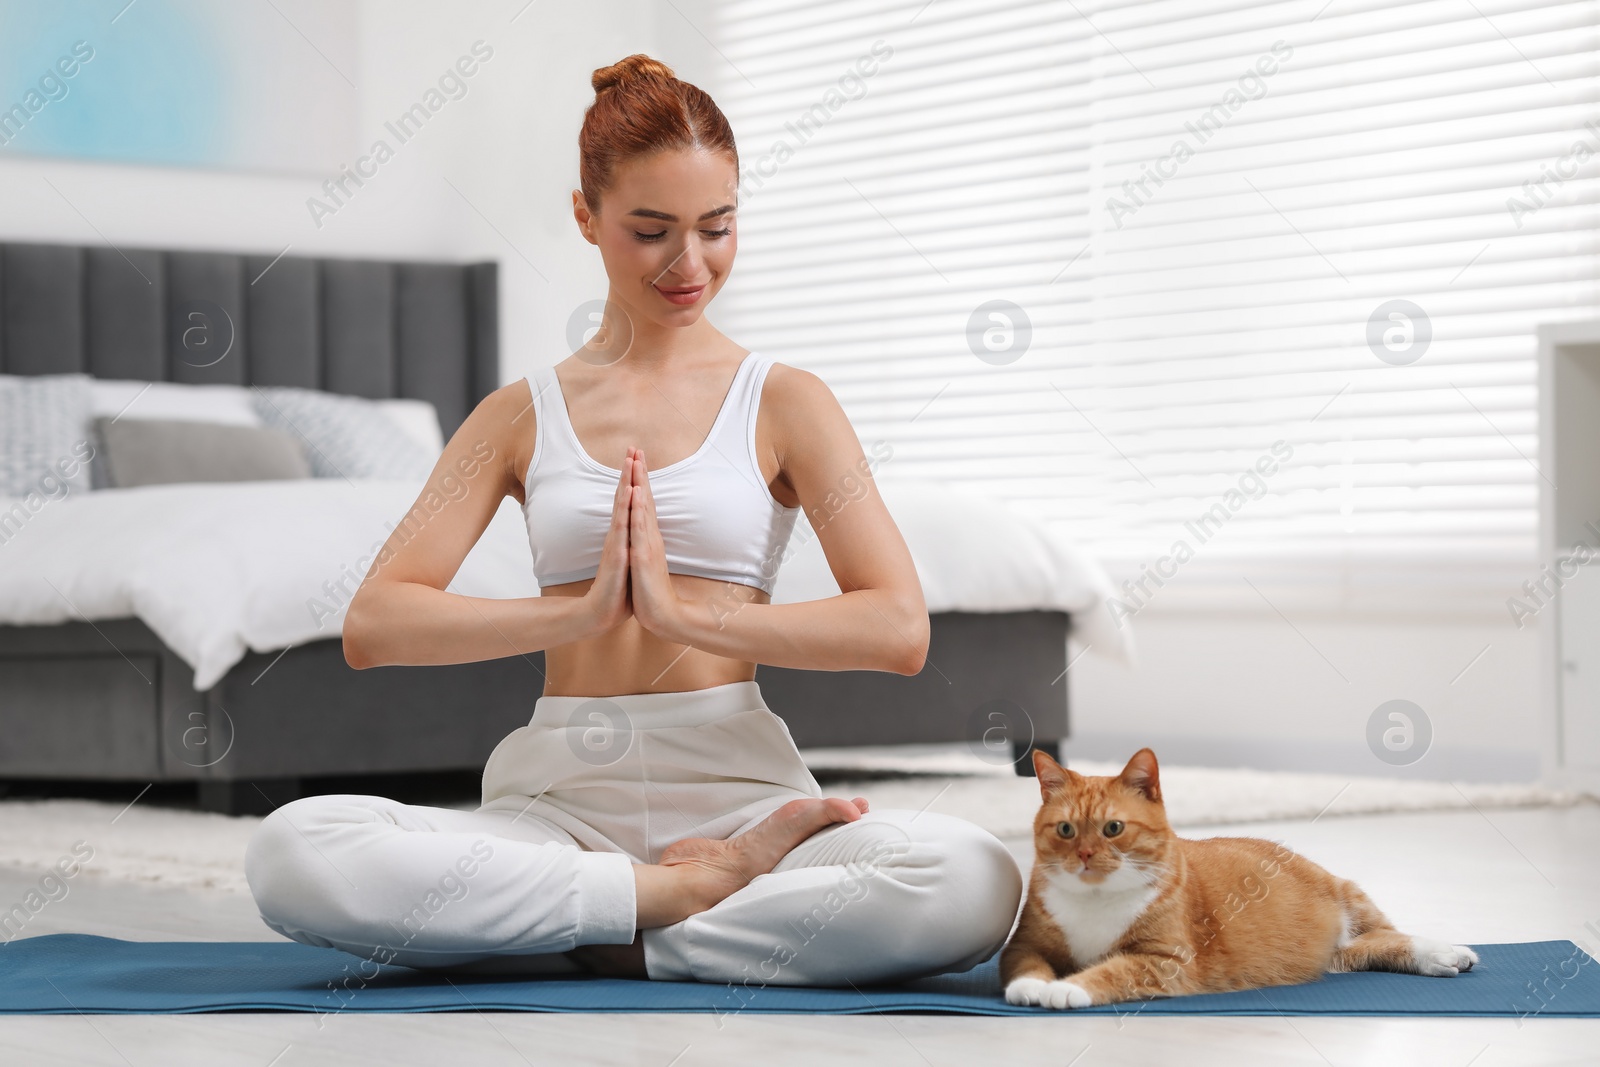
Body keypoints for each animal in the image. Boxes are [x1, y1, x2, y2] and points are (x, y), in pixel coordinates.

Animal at [1004, 742, 1478, 1011]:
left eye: (1113, 828)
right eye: (1066, 830)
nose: (1084, 855)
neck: (1096, 901)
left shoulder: (1168, 962)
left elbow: (1111, 972)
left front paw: (1068, 989)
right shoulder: (1025, 944)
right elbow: (1026, 964)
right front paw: (1032, 986)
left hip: (1350, 895)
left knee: (1388, 932)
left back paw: (1443, 951)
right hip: (1334, 953)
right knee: (1366, 947)